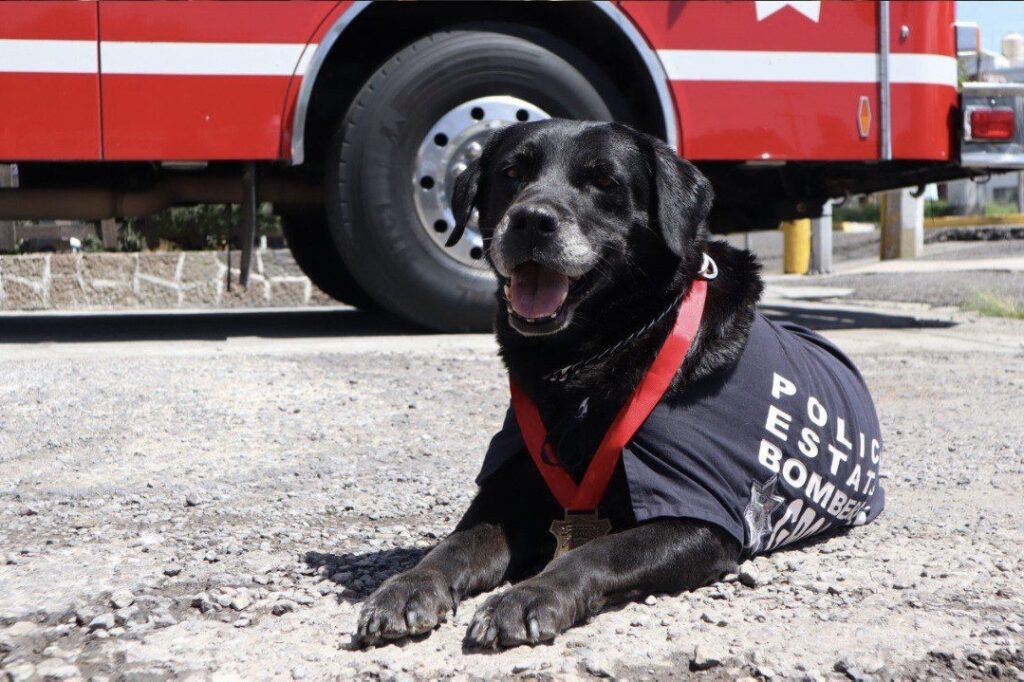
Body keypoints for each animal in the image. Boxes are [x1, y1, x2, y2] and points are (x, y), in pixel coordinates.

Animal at [356, 119, 884, 647]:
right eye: (510, 173)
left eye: (605, 181)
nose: (530, 220)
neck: (592, 360)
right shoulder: (508, 492)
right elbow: (454, 545)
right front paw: (407, 586)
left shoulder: (698, 516)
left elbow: (595, 551)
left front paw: (529, 595)